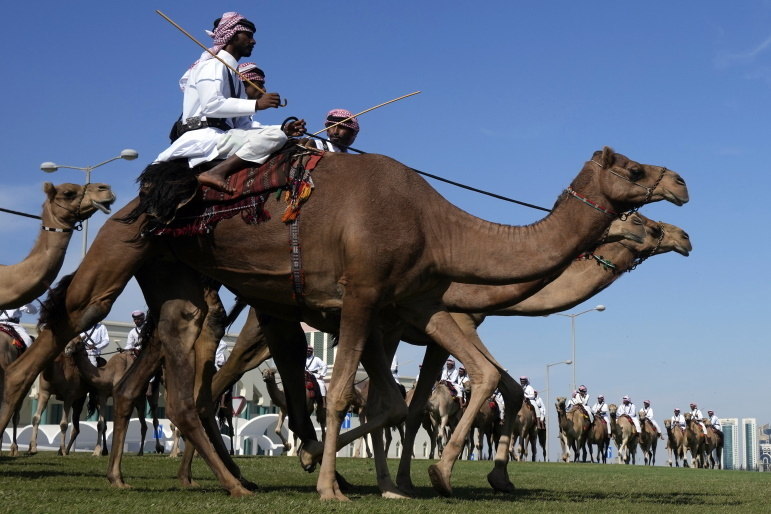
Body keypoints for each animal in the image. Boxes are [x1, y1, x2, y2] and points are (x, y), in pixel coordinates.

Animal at [0, 146, 688, 498]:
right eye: (633, 176)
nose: (680, 190)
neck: (440, 229)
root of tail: (137, 197)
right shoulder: (372, 299)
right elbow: (353, 396)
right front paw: (346, 481)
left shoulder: (407, 308)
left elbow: (399, 402)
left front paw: (392, 481)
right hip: (123, 253)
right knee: (73, 320)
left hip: (186, 280)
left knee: (175, 375)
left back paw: (204, 478)